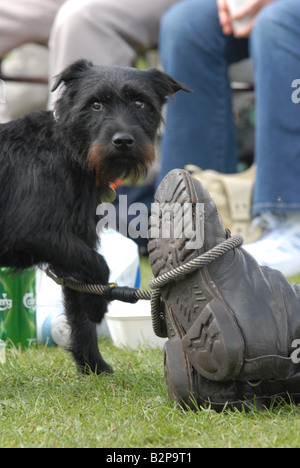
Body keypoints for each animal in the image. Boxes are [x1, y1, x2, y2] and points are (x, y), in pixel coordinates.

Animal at [0, 59, 191, 372]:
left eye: (140, 102)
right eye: (96, 104)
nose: (123, 141)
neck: (66, 150)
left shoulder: (71, 246)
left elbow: (79, 307)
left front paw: (93, 366)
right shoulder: (32, 233)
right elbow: (99, 266)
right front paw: (99, 305)